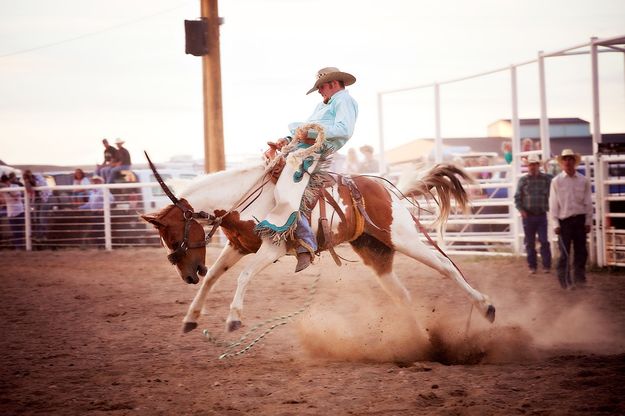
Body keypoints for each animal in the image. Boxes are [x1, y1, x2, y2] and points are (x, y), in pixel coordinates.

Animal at [143, 154, 498, 334]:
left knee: (446, 266)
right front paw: (191, 317)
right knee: (402, 294)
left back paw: (487, 307)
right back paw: (420, 341)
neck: (242, 198)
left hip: (405, 237)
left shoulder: (271, 249)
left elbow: (242, 277)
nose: (189, 275)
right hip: (375, 252)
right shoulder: (239, 246)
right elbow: (214, 278)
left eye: (173, 237)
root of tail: (388, 189)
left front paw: (233, 318)